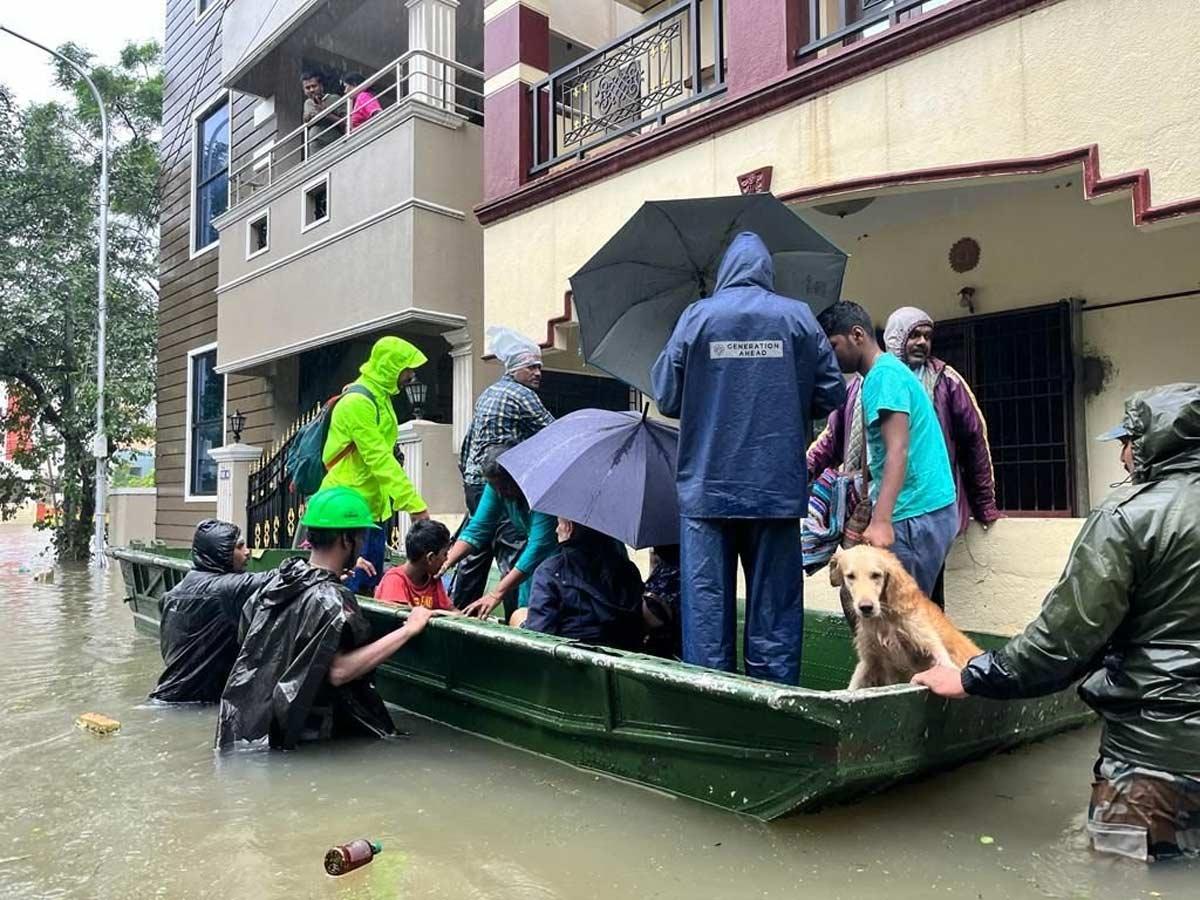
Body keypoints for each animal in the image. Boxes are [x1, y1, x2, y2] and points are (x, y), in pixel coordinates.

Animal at [830, 542, 979, 691]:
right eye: (850, 576)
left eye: (876, 575)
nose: (866, 607)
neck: (885, 619)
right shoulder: (869, 660)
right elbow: (853, 686)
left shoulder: (928, 641)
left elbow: (943, 660)